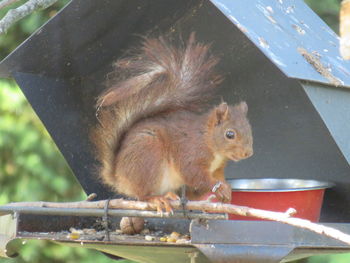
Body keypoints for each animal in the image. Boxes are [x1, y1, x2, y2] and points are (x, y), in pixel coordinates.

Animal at [91, 33, 253, 214]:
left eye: (249, 129)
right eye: (229, 134)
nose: (248, 153)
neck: (208, 140)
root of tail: (119, 177)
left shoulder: (217, 169)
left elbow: (214, 178)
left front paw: (226, 189)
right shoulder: (190, 152)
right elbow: (194, 174)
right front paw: (218, 187)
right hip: (148, 157)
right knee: (142, 195)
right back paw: (157, 199)